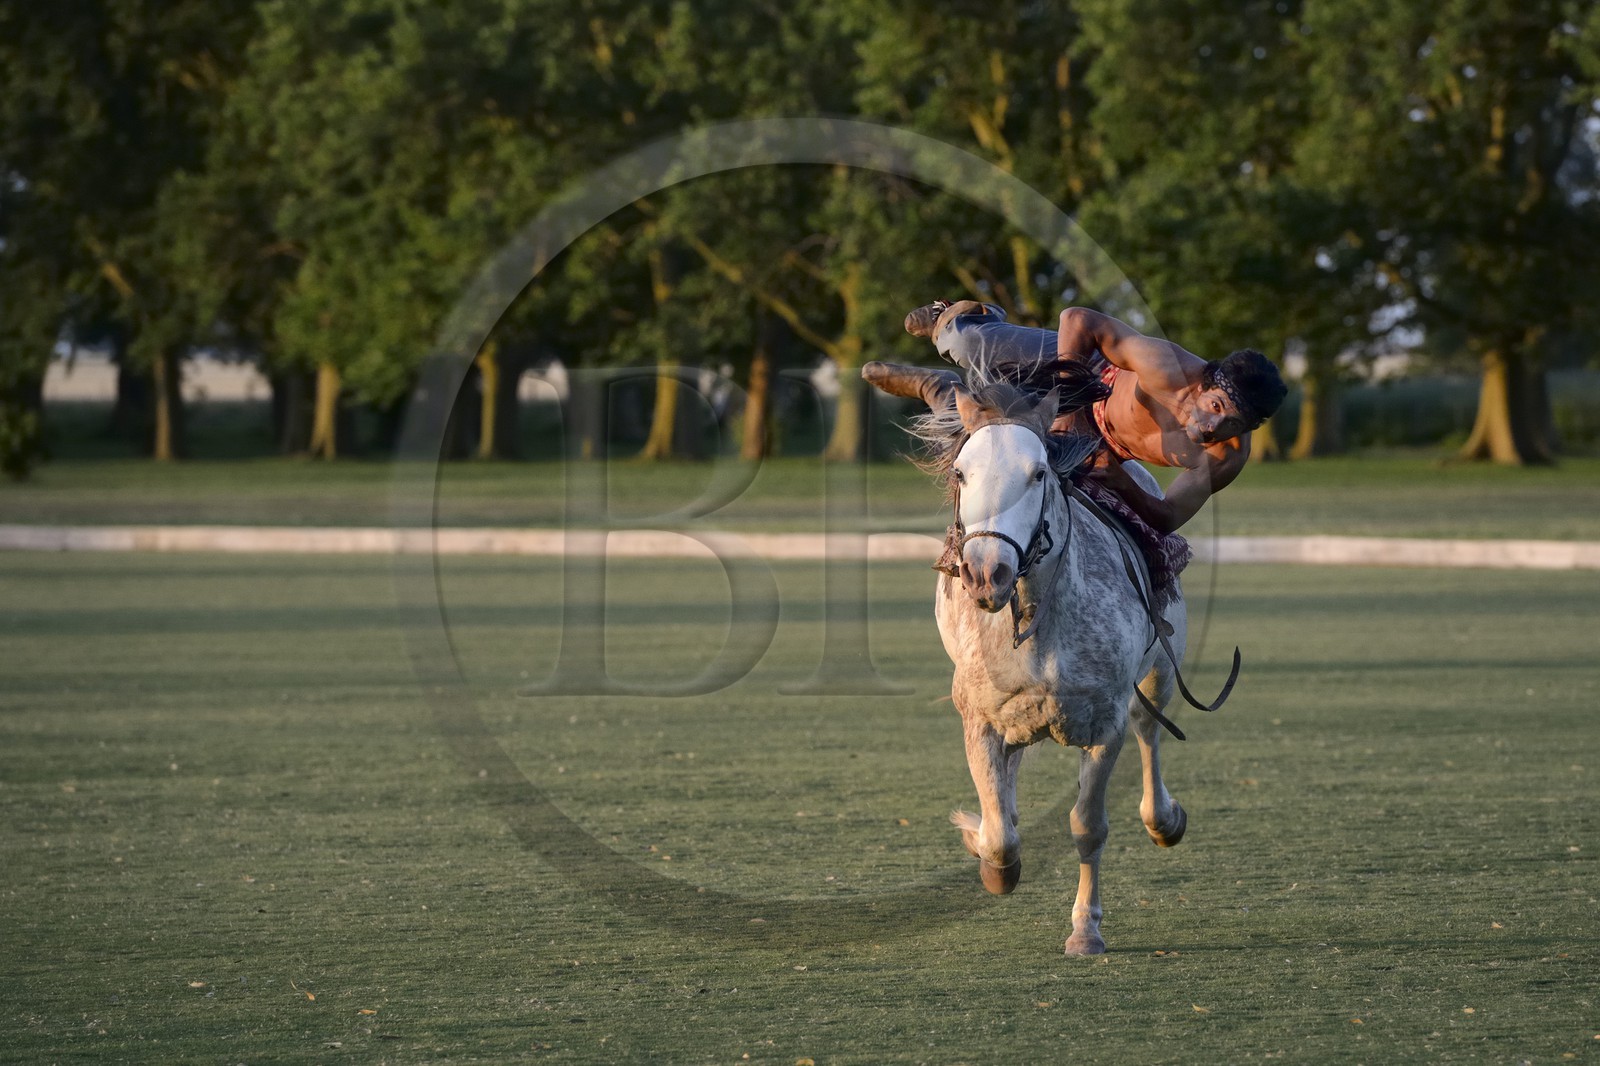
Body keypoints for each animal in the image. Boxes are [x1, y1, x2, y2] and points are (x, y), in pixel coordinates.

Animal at [887, 372, 1197, 956]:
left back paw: (1165, 820)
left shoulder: (1104, 725)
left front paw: (1085, 930)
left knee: (1150, 730)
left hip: (1161, 671)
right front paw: (994, 867)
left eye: (1037, 473)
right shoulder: (979, 722)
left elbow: (1088, 826)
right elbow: (1000, 834)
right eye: (961, 472)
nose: (986, 573)